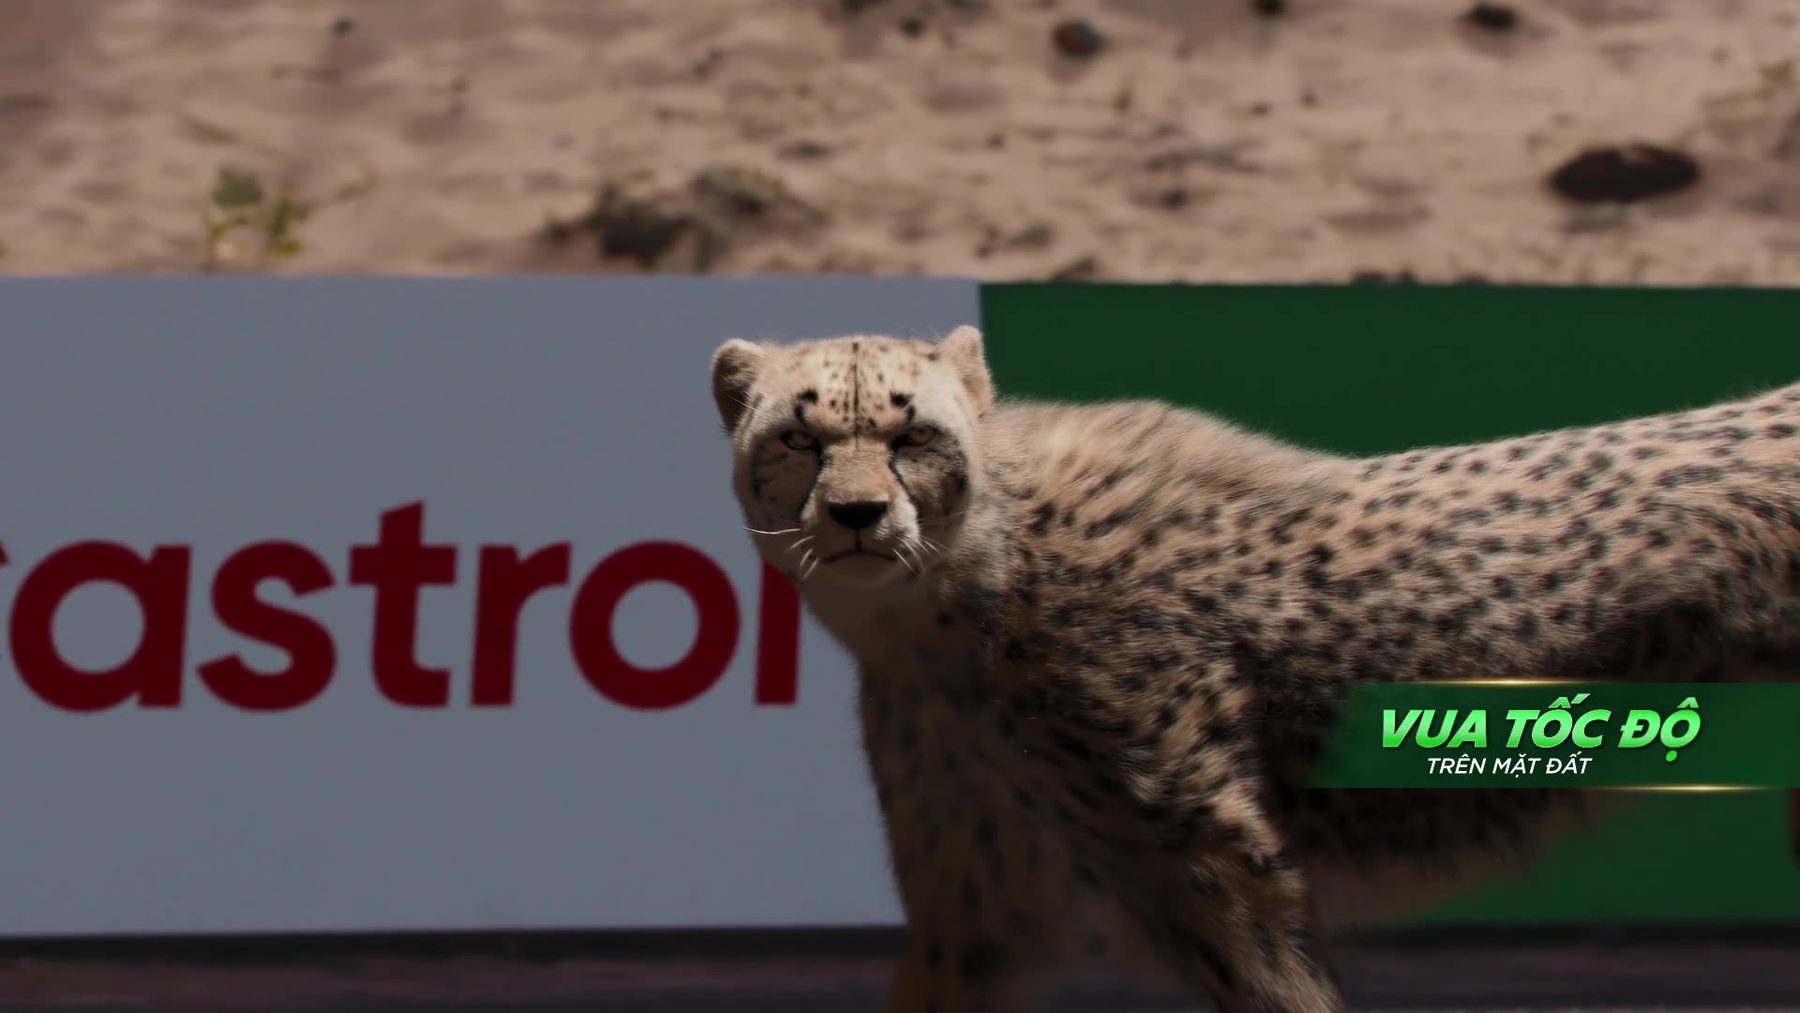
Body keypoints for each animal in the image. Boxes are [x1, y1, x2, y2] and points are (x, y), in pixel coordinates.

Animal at [708, 324, 1800, 1012]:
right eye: (799, 436)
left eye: (912, 435)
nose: (857, 515)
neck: (964, 581)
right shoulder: (978, 910)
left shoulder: (1217, 869)